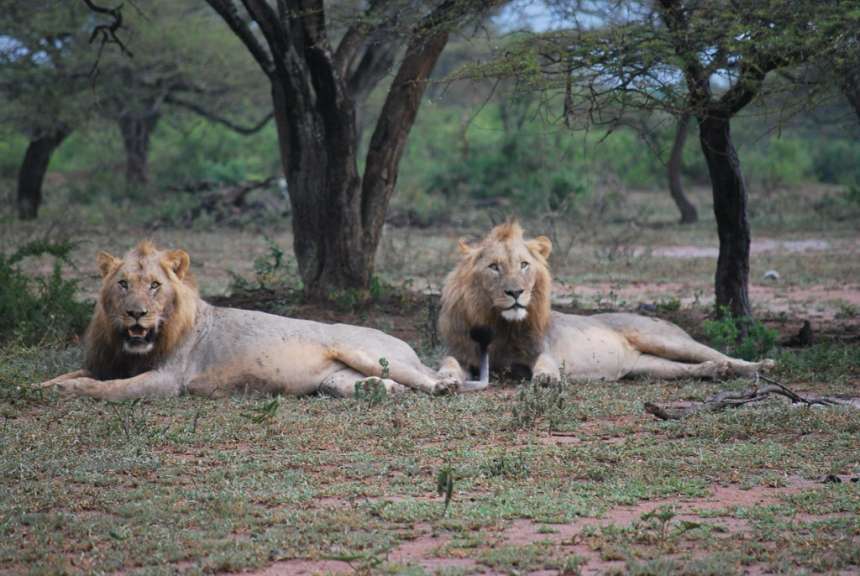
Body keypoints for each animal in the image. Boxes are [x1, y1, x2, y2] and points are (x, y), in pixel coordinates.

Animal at [38, 241, 460, 400]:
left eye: (155, 286)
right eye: (123, 284)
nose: (136, 313)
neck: (130, 347)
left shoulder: (167, 380)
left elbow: (104, 389)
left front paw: (68, 391)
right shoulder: (105, 364)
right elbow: (74, 375)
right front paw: (41, 386)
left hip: (365, 351)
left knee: (431, 376)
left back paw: (443, 387)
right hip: (335, 381)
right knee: (381, 385)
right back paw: (380, 389)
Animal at [438, 221, 773, 384]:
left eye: (523, 265)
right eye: (494, 267)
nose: (516, 293)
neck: (499, 323)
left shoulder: (541, 348)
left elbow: (544, 362)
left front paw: (546, 378)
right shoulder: (465, 354)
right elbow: (449, 363)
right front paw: (444, 381)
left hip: (665, 339)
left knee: (722, 354)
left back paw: (760, 365)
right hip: (648, 367)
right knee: (693, 367)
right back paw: (718, 372)